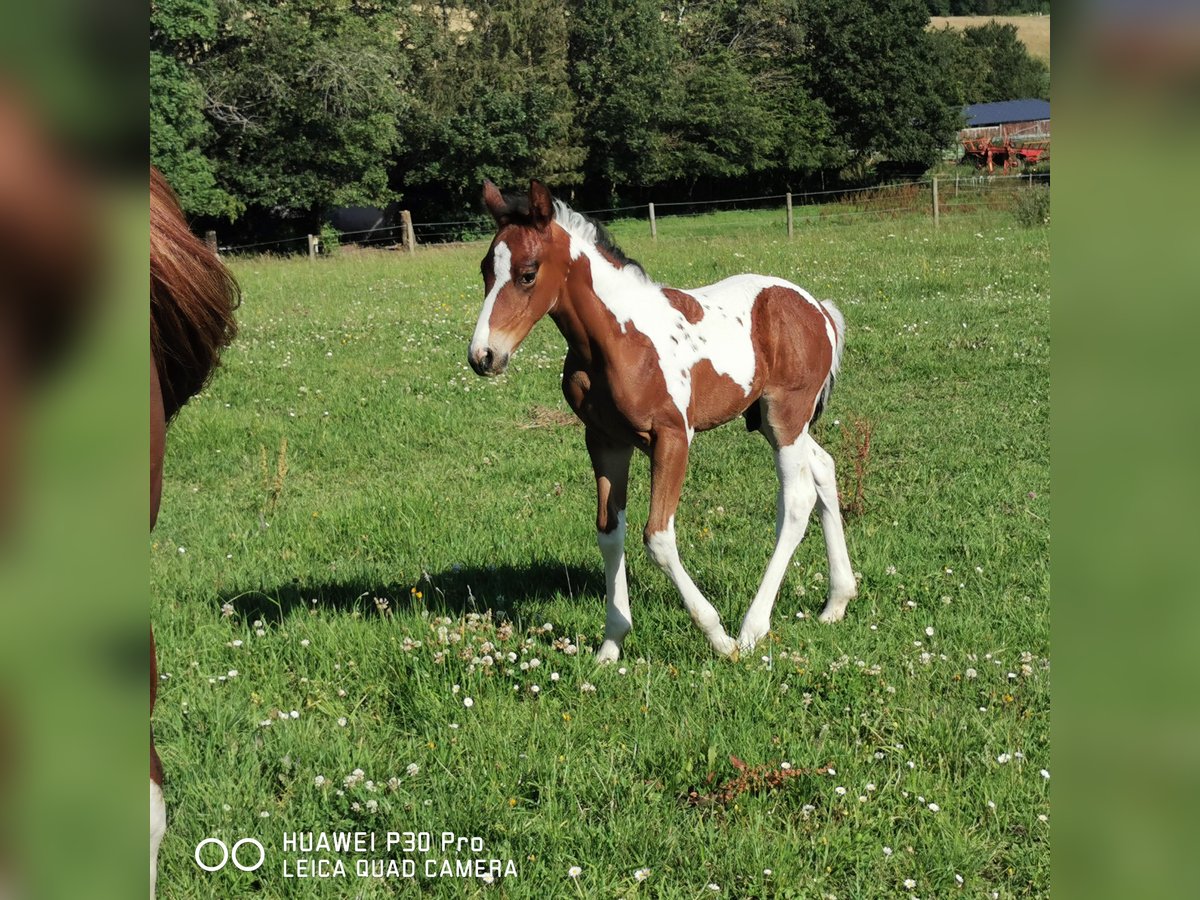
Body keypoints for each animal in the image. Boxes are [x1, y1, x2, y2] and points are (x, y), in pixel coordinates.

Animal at [468, 180, 856, 663]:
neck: (619, 339)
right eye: (485, 269)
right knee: (823, 469)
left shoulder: (672, 438)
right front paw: (610, 645)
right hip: (774, 421)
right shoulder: (605, 440)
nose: (483, 356)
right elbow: (609, 532)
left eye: (527, 273)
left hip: (787, 416)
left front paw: (718, 636)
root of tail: (817, 308)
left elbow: (658, 537)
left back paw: (752, 629)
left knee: (797, 502)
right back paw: (837, 601)